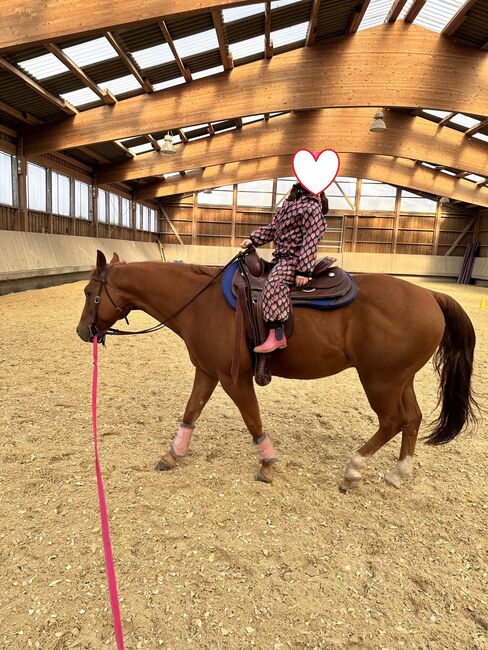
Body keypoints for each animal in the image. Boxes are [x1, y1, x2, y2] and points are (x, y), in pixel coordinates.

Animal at [76, 251, 476, 488]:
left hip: (380, 380)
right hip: (400, 379)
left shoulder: (233, 377)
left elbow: (252, 419)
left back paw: (353, 468)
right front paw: (172, 454)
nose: (83, 331)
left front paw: (267, 463)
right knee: (412, 419)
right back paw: (398, 472)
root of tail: (430, 296)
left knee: (393, 421)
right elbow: (191, 411)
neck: (200, 302)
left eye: (88, 292)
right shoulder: (207, 372)